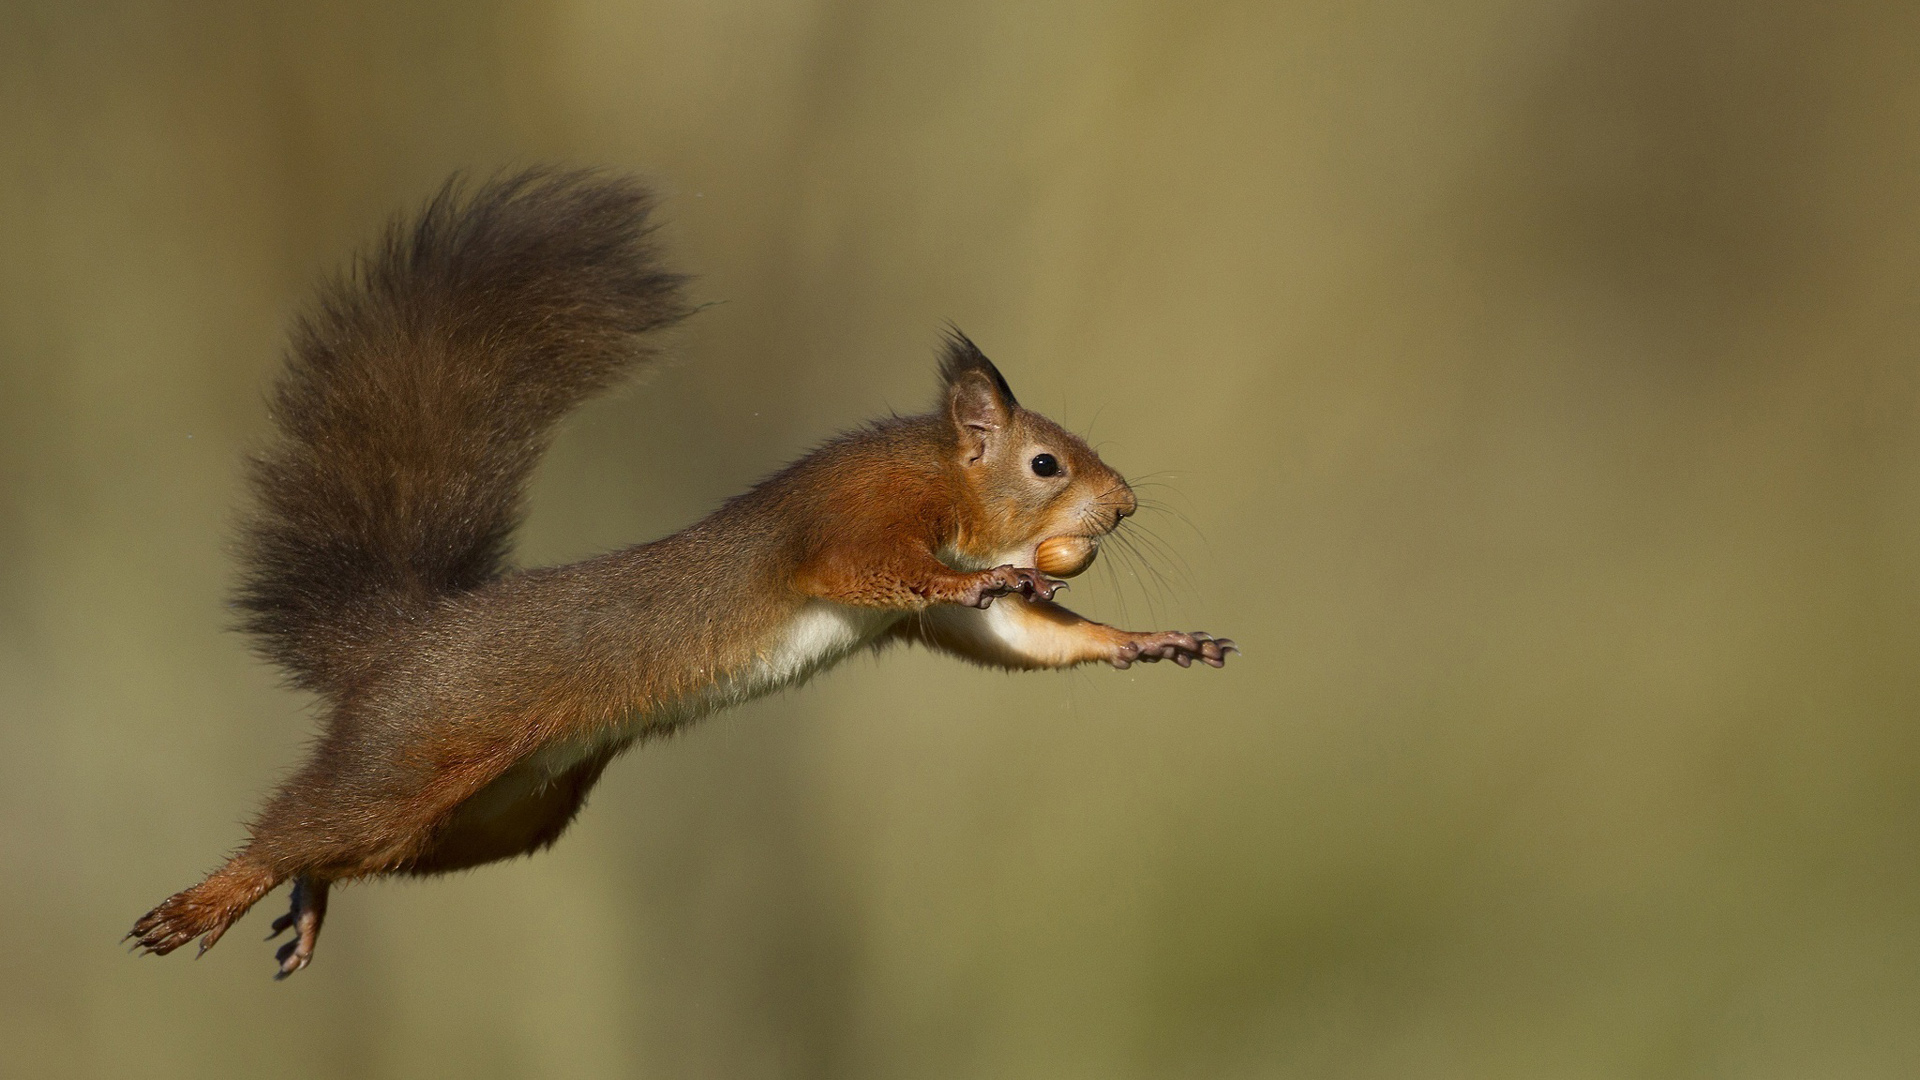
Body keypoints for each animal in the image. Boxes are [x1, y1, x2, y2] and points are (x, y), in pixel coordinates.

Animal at [127, 166, 1236, 976]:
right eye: (1048, 464)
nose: (1125, 507)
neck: (945, 485)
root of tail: (403, 639)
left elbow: (1017, 636)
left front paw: (1149, 640)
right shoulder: (854, 518)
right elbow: (877, 572)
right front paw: (978, 579)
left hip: (500, 815)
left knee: (341, 856)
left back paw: (305, 902)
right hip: (421, 751)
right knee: (308, 824)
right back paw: (208, 898)